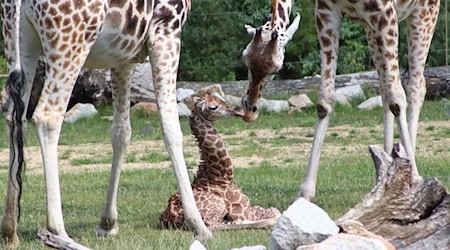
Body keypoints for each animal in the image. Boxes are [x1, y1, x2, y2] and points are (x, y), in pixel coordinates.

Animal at [0, 0, 212, 246]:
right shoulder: (166, 30)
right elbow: (172, 129)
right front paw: (199, 224)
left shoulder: (124, 56)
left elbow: (121, 132)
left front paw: (107, 223)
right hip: (70, 41)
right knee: (47, 117)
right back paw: (58, 231)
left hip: (20, 40)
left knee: (15, 119)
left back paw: (9, 232)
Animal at [160, 92, 280, 230]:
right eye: (213, 107)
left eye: (220, 98)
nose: (238, 110)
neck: (220, 176)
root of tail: (172, 217)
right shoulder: (241, 209)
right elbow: (275, 210)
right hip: (218, 205)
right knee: (211, 224)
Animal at [243, 0, 440, 199]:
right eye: (245, 59)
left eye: (276, 68)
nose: (249, 109)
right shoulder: (326, 14)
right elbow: (325, 101)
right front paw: (305, 192)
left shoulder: (385, 14)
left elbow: (397, 97)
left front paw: (415, 178)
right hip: (371, 30)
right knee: (385, 88)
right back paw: (385, 170)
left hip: (423, 12)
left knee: (416, 85)